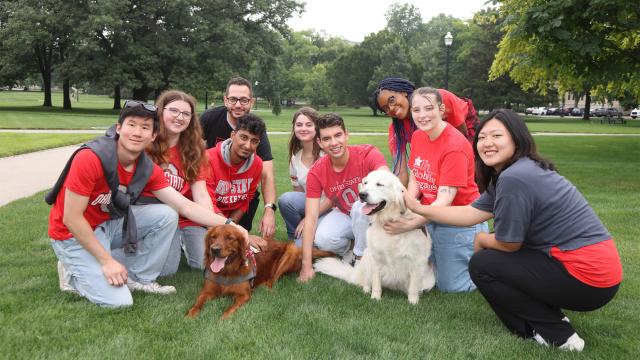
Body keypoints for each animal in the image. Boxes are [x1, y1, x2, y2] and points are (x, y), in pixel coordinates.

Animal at [186, 225, 332, 318]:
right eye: (213, 237)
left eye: (230, 238)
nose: (214, 249)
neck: (226, 272)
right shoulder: (206, 291)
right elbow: (197, 304)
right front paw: (190, 315)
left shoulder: (244, 295)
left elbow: (230, 309)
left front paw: (223, 318)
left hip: (291, 250)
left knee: (273, 280)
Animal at [314, 169, 436, 304]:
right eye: (365, 183)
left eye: (379, 184)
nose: (362, 194)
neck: (388, 219)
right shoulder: (376, 257)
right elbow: (376, 282)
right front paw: (375, 298)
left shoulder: (417, 261)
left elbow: (413, 286)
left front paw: (413, 302)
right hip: (367, 256)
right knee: (366, 281)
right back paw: (366, 290)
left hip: (430, 280)